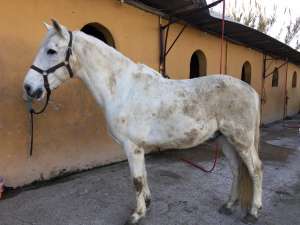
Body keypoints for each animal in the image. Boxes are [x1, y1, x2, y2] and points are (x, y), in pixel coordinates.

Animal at [23, 20, 262, 224]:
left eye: (51, 51)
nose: (28, 88)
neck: (123, 88)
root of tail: (251, 90)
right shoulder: (139, 147)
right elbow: (144, 176)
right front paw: (147, 203)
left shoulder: (132, 146)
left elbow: (136, 180)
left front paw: (137, 215)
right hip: (225, 140)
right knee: (236, 170)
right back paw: (229, 205)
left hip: (242, 141)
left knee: (255, 170)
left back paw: (253, 212)